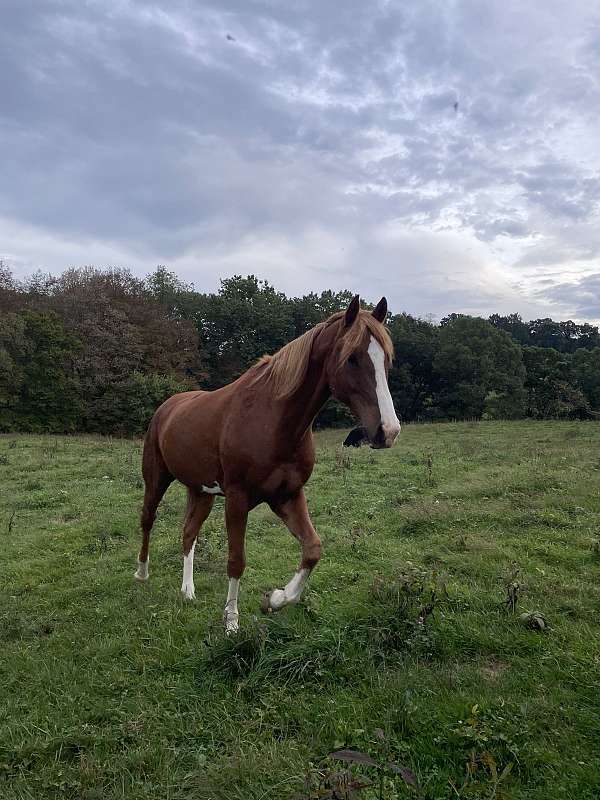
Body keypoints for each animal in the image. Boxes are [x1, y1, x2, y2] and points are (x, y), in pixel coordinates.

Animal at [134, 294, 400, 632]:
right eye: (352, 358)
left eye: (387, 360)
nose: (388, 431)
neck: (274, 421)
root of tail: (167, 406)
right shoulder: (237, 499)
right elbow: (236, 561)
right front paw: (231, 622)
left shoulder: (287, 495)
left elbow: (313, 548)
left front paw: (275, 599)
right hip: (156, 479)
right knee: (148, 520)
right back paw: (142, 573)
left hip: (201, 492)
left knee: (188, 533)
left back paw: (188, 590)